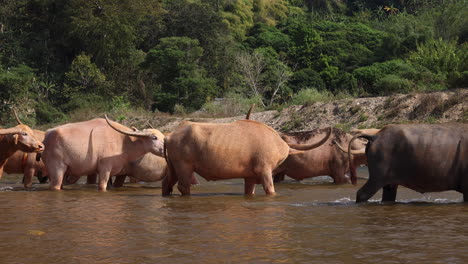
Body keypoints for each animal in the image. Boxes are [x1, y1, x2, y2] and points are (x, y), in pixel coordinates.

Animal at [163, 120, 330, 196]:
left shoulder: (250, 177)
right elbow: (270, 190)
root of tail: (169, 136)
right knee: (183, 187)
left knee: (167, 185)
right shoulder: (265, 171)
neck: (276, 142)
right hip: (184, 167)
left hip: (174, 168)